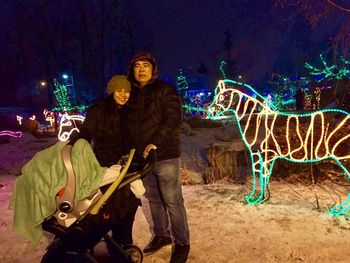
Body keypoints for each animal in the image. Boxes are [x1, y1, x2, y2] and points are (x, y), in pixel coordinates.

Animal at [208, 79, 350, 216]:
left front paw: (256, 199)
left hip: (342, 157)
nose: (209, 113)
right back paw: (338, 209)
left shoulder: (260, 152)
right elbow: (264, 176)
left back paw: (337, 210)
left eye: (222, 97)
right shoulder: (268, 155)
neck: (256, 123)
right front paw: (262, 198)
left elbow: (259, 174)